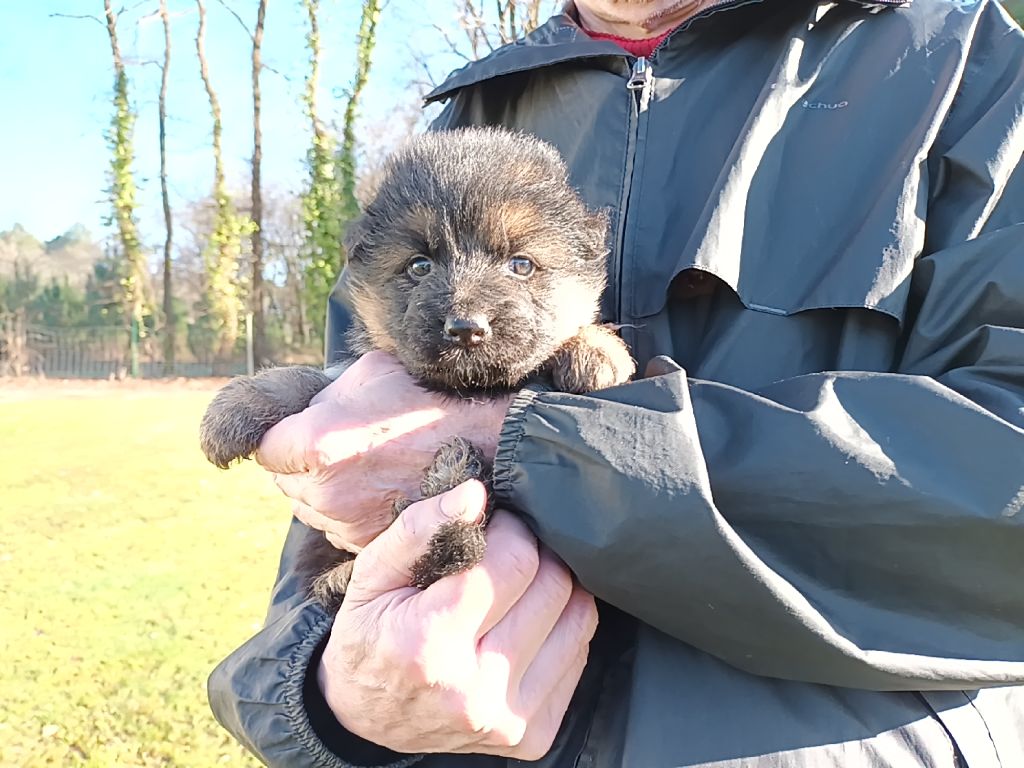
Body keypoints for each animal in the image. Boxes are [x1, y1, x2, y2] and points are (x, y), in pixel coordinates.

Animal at [198, 131, 630, 614]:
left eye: (521, 264)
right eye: (419, 265)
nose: (466, 327)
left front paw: (596, 347)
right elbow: (312, 379)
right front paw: (237, 405)